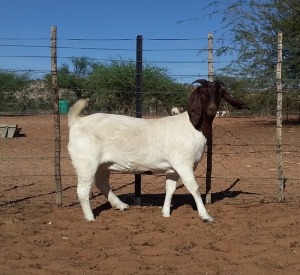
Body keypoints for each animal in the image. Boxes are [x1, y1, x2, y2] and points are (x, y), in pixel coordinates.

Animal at [68, 78, 248, 223]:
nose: (212, 109)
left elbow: (170, 188)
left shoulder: (173, 169)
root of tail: (77, 121)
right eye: (203, 92)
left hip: (103, 164)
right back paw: (90, 217)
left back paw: (121, 205)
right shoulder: (183, 164)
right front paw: (205, 216)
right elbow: (194, 188)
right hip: (86, 162)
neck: (192, 126)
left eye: (219, 93)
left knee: (102, 183)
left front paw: (166, 212)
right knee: (83, 190)